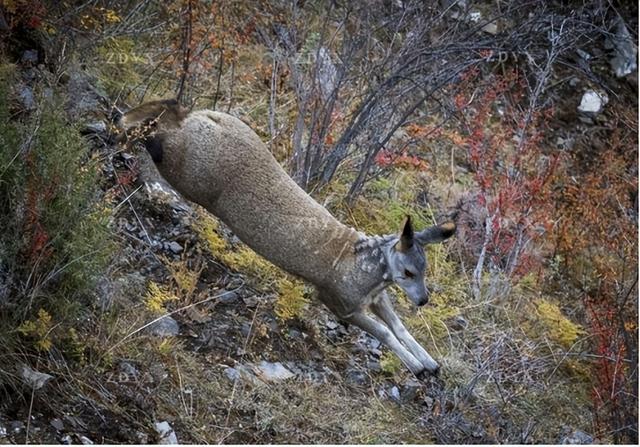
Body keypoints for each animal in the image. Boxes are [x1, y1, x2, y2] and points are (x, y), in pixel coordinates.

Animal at [115, 99, 456, 378]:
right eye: (408, 272)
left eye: (424, 270)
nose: (423, 300)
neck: (367, 268)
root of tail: (203, 117)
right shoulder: (338, 301)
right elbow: (385, 332)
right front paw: (416, 367)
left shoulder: (376, 299)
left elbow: (401, 328)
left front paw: (429, 362)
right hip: (188, 171)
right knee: (161, 133)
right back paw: (127, 126)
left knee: (171, 109)